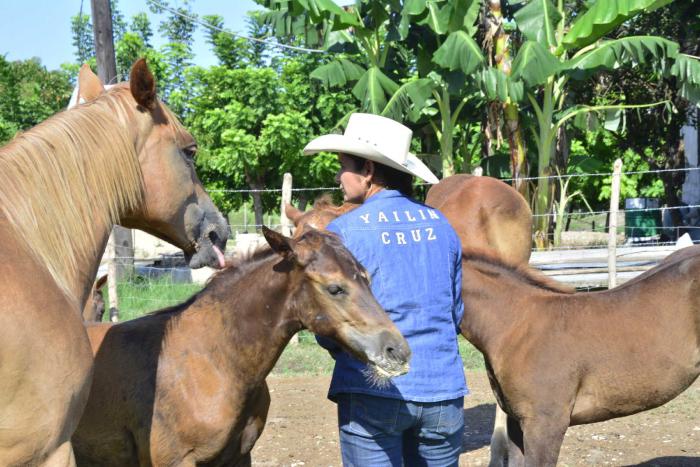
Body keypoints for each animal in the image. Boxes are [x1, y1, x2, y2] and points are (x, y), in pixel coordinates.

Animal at [72, 228, 410, 467]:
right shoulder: (173, 460)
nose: (398, 351)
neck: (214, 360)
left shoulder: (238, 456)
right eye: (335, 288)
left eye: (367, 279)